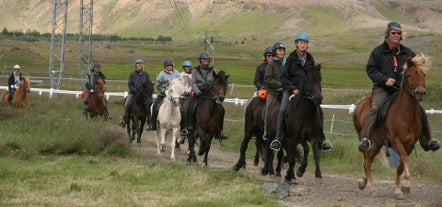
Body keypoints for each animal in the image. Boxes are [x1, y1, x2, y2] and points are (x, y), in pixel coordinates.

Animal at [354, 54, 430, 200]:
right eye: (408, 75)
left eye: (423, 74)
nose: (420, 92)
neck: (405, 114)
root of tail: (360, 103)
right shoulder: (396, 141)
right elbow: (404, 158)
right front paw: (406, 185)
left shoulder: (410, 144)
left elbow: (400, 166)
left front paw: (398, 190)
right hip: (366, 140)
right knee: (366, 161)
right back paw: (371, 188)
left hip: (377, 143)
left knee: (368, 161)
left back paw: (364, 182)